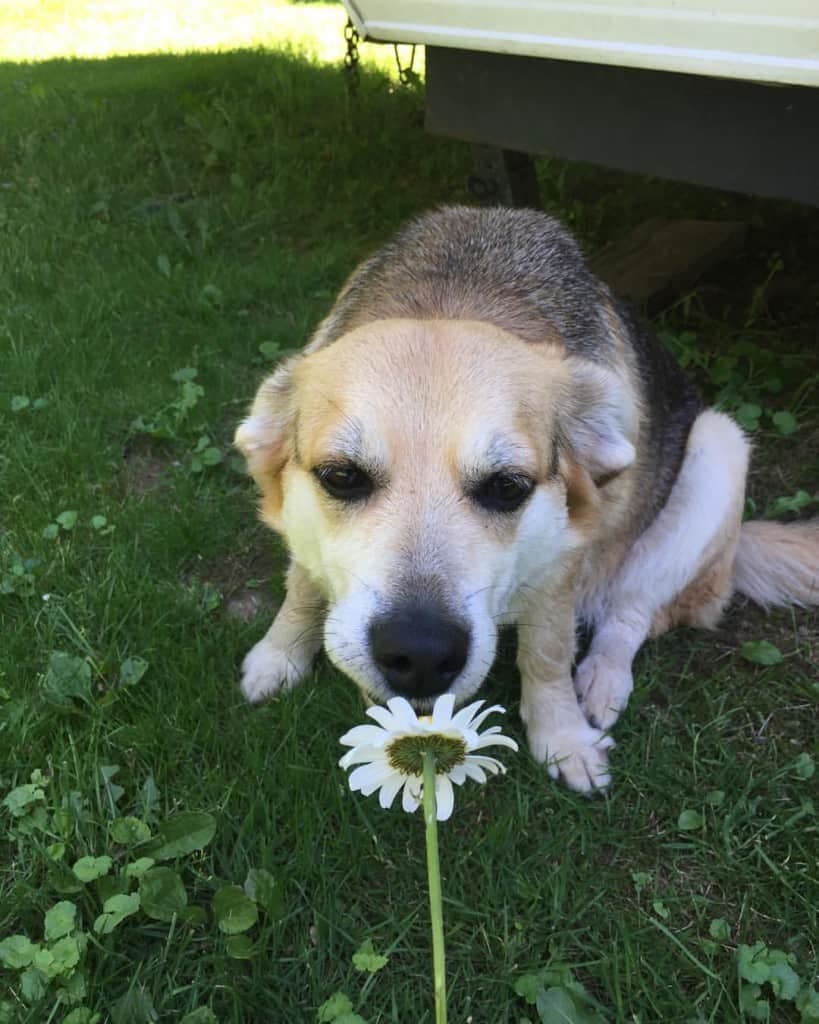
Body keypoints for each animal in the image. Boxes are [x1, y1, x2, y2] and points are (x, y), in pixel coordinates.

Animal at [232, 201, 818, 790]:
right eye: (341, 477)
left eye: (507, 486)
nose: (420, 654)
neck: (454, 295)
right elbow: (302, 586)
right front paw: (280, 653)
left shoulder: (564, 557)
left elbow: (548, 651)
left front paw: (562, 737)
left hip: (718, 450)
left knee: (631, 614)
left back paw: (602, 680)